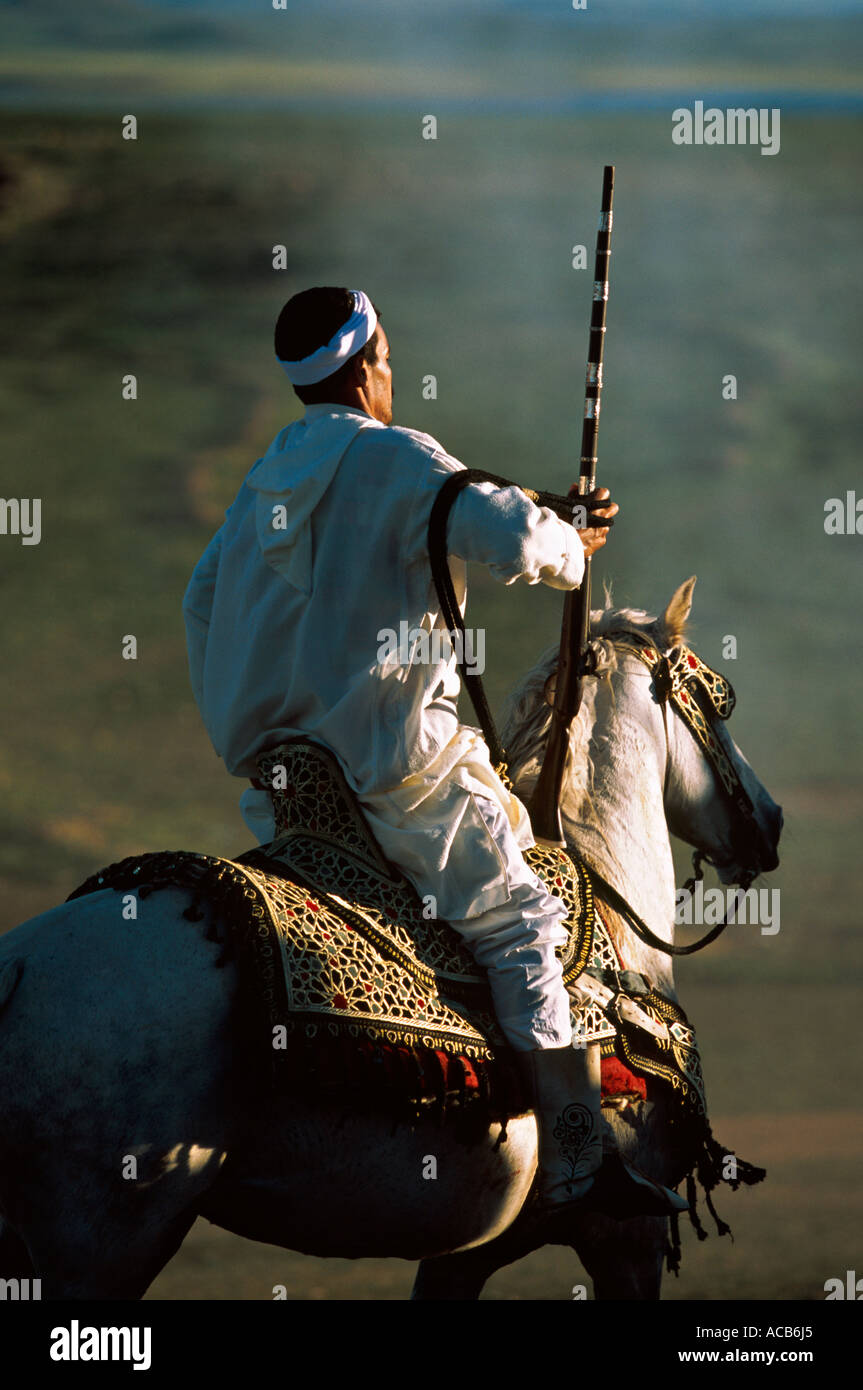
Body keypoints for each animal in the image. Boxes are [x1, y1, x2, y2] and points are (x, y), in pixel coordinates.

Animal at [0, 581, 778, 1295]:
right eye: (719, 699)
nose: (768, 823)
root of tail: (19, 965)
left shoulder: (464, 1252)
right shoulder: (627, 1237)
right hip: (109, 1241)